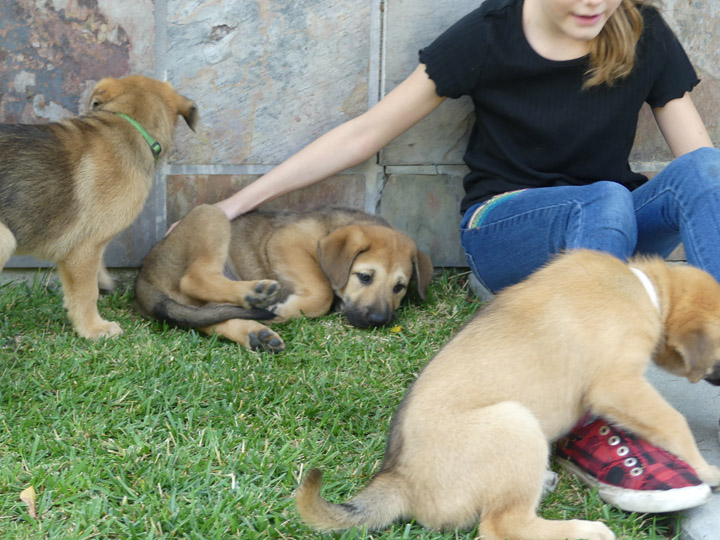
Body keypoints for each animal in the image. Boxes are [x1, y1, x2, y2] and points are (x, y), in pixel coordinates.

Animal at [0, 75, 198, 338]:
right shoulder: (84, 247)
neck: (127, 124)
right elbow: (86, 293)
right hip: (4, 239)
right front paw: (94, 329)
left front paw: (103, 281)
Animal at [134, 205, 434, 352]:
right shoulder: (286, 242)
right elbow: (322, 290)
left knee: (210, 319)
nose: (379, 321)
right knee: (194, 278)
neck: (327, 232)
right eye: (365, 277)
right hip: (209, 214)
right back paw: (255, 296)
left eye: (399, 287)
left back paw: (257, 334)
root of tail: (144, 275)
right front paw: (286, 308)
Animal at [296, 251, 720, 540]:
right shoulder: (618, 383)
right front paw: (706, 469)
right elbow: (674, 422)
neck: (647, 290)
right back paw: (584, 530)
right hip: (516, 423)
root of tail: (399, 480)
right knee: (503, 526)